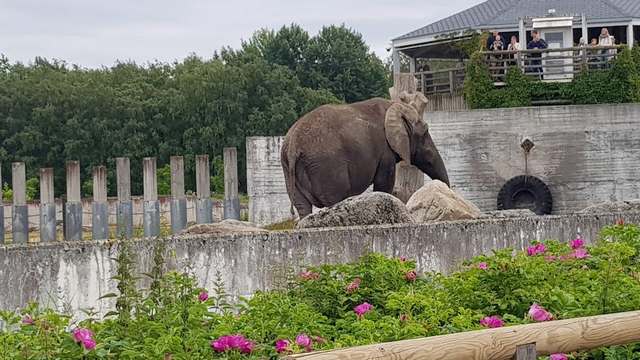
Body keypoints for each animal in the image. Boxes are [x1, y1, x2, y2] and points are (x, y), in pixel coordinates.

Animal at [280, 91, 450, 218]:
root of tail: (293, 146)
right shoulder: (384, 150)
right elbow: (384, 184)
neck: (393, 106)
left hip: (290, 170)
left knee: (302, 206)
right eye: (425, 132)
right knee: (334, 199)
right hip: (326, 167)